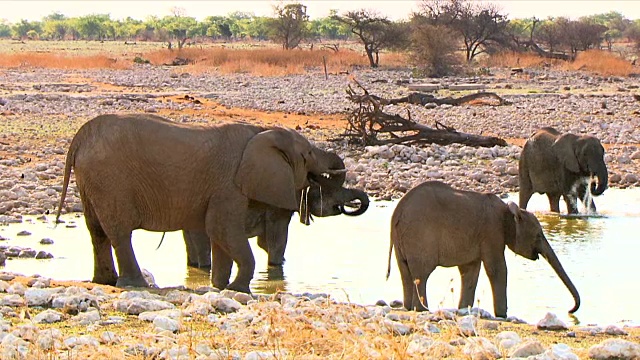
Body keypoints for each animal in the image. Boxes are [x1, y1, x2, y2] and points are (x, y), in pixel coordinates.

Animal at [53, 114, 364, 294]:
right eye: (307, 154)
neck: (262, 132)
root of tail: (80, 137)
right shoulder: (231, 186)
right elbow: (222, 229)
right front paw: (239, 290)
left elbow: (219, 235)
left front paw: (219, 286)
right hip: (110, 179)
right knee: (119, 232)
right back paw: (135, 284)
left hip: (92, 180)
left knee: (96, 231)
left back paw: (104, 282)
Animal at [384, 181, 580, 316]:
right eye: (538, 235)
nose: (570, 310)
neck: (509, 210)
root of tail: (397, 213)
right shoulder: (492, 231)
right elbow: (497, 269)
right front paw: (502, 315)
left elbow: (470, 270)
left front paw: (464, 309)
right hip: (419, 235)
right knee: (422, 274)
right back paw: (422, 310)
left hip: (403, 240)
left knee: (406, 273)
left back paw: (409, 308)